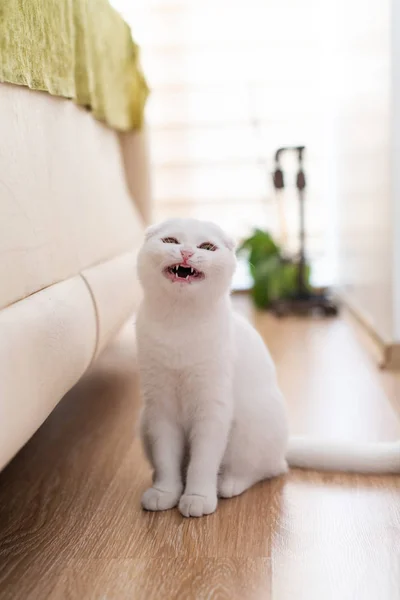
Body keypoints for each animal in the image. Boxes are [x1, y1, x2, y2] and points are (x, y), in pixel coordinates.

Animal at [135, 218, 400, 516]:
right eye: (171, 241)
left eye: (207, 247)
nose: (187, 253)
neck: (178, 325)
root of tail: (284, 445)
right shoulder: (160, 408)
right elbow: (166, 460)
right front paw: (164, 492)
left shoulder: (213, 408)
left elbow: (202, 462)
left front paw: (198, 497)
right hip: (144, 420)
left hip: (253, 425)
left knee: (269, 469)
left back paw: (228, 484)